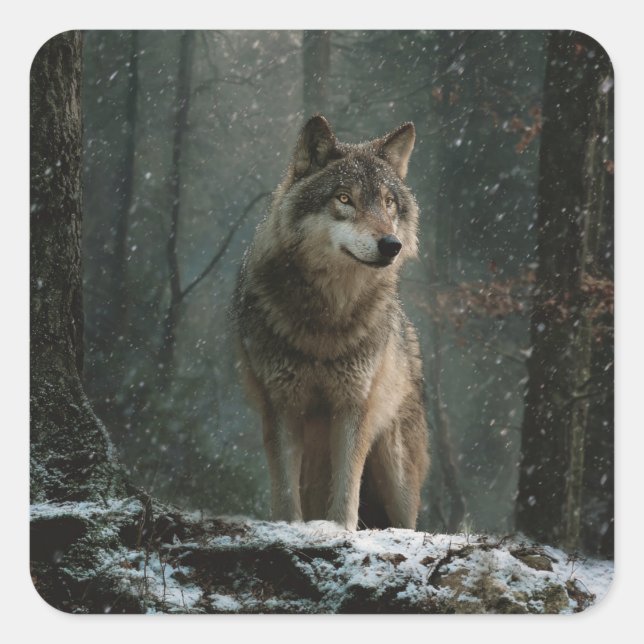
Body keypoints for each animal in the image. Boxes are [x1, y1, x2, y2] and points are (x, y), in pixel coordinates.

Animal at [232, 115, 429, 530]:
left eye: (388, 203)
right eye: (344, 199)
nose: (391, 245)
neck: (326, 320)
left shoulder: (354, 407)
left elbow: (346, 492)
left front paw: (341, 530)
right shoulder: (281, 406)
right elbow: (285, 493)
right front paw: (292, 529)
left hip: (397, 473)